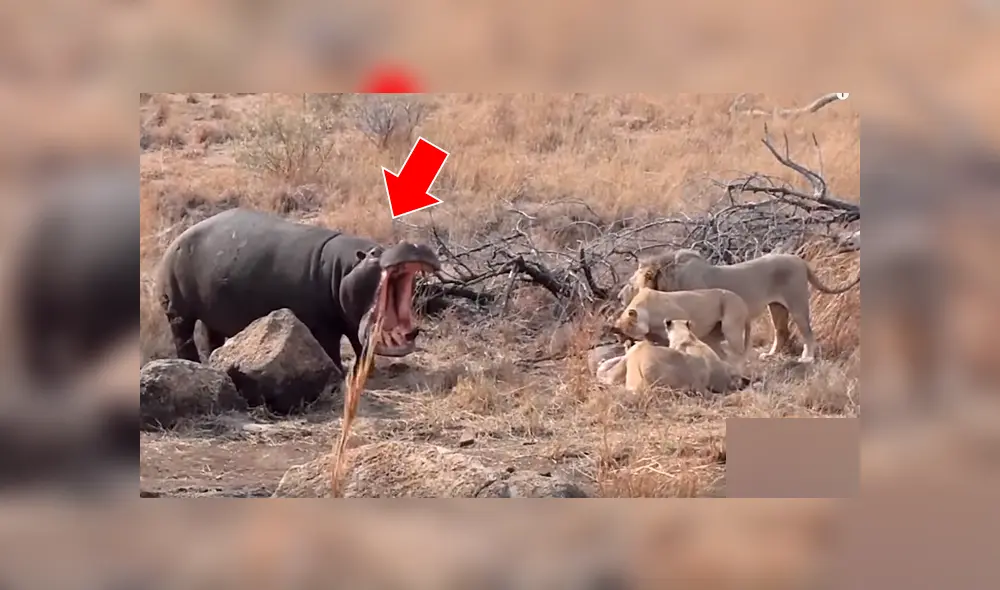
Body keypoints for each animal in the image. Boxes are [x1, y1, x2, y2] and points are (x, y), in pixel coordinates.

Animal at [610, 286, 752, 369]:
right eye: (621, 336)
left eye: (629, 333)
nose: (625, 343)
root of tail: (743, 302)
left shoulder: (682, 319)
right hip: (714, 336)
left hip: (731, 328)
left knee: (739, 353)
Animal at [618, 248, 860, 363]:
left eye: (629, 283)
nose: (619, 297)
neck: (667, 278)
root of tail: (801, 261)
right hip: (776, 307)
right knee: (781, 332)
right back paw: (770, 355)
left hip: (797, 302)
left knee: (807, 332)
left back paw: (807, 358)